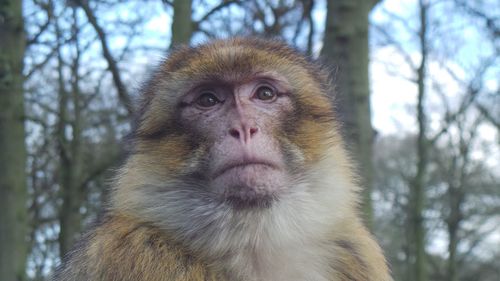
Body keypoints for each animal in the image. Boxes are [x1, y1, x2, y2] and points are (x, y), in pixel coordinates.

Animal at [52, 37, 392, 280]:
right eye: (208, 99)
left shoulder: (356, 253)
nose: (243, 128)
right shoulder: (132, 252)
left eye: (265, 94)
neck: (254, 240)